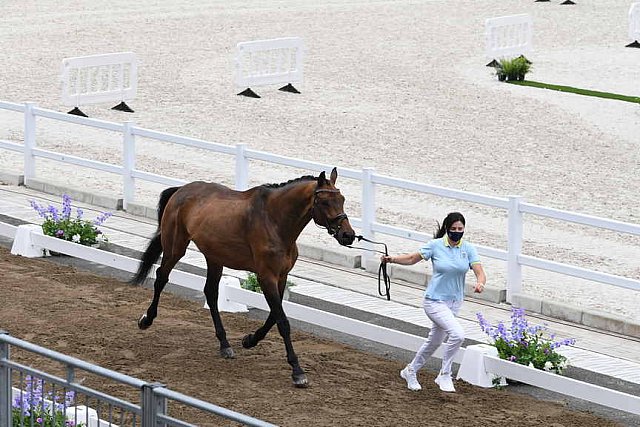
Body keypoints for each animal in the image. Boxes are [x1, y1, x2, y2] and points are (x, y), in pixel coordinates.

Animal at [130, 167, 356, 388]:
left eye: (342, 199)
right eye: (325, 202)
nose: (348, 235)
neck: (274, 220)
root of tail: (181, 190)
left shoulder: (281, 277)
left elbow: (274, 316)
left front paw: (250, 340)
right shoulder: (266, 277)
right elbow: (282, 321)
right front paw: (297, 371)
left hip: (214, 258)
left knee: (211, 293)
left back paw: (225, 345)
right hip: (175, 248)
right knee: (161, 278)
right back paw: (146, 319)